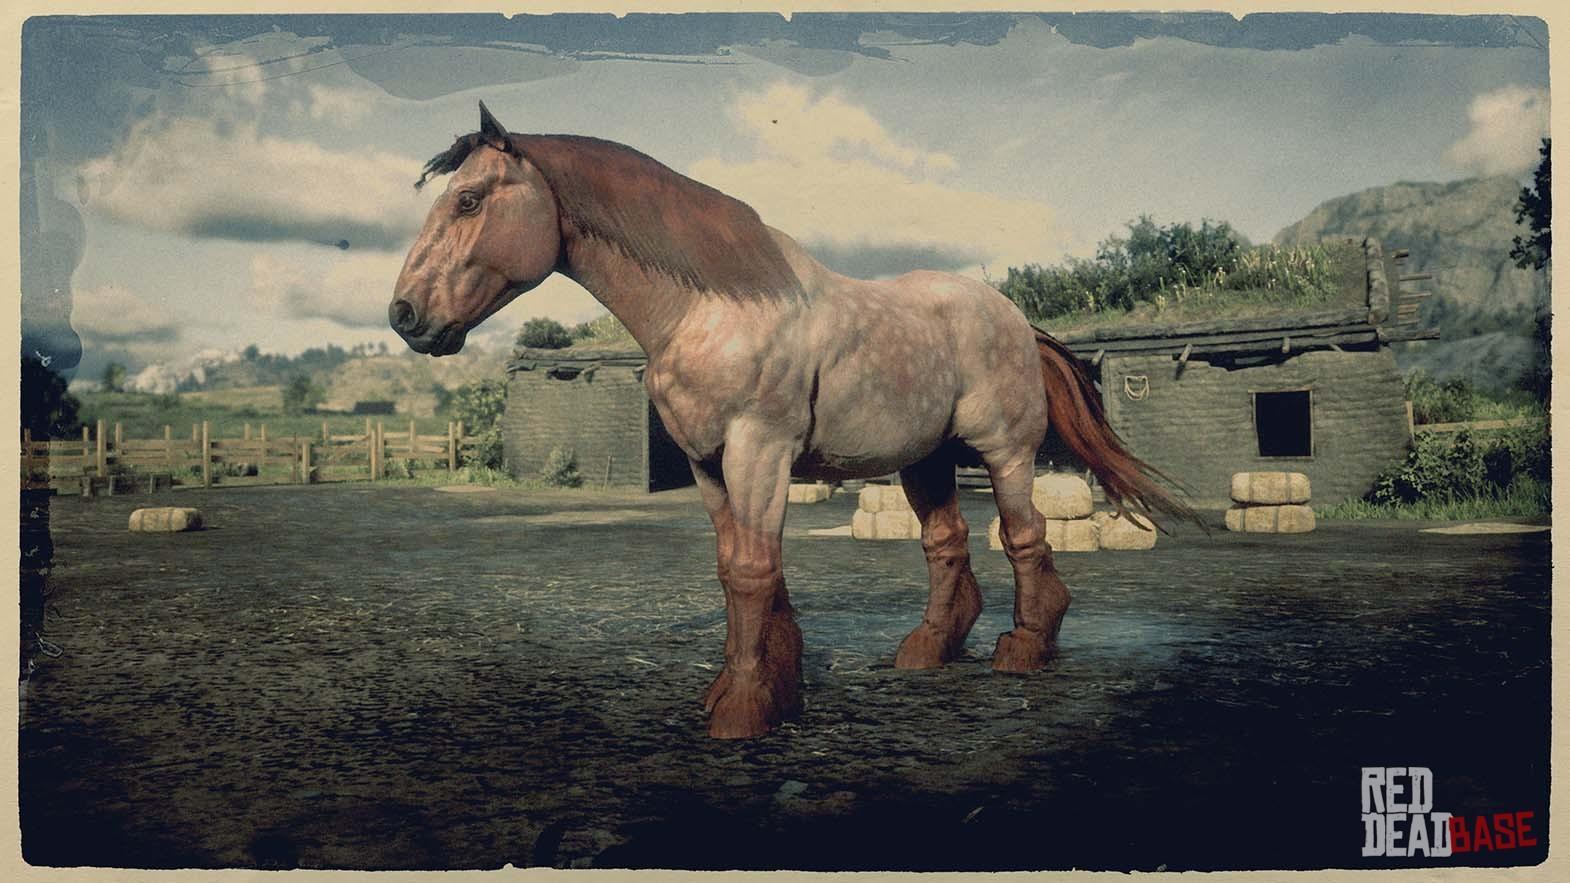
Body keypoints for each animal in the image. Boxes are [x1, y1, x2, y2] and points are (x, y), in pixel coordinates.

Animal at [390, 102, 1193, 739]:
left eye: (468, 201)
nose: (404, 315)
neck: (710, 306)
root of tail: (1017, 320)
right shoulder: (710, 462)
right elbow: (741, 569)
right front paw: (760, 685)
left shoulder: (759, 449)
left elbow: (751, 571)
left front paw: (744, 707)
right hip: (925, 460)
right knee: (947, 545)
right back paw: (927, 649)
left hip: (1004, 452)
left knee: (1023, 535)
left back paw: (1026, 646)